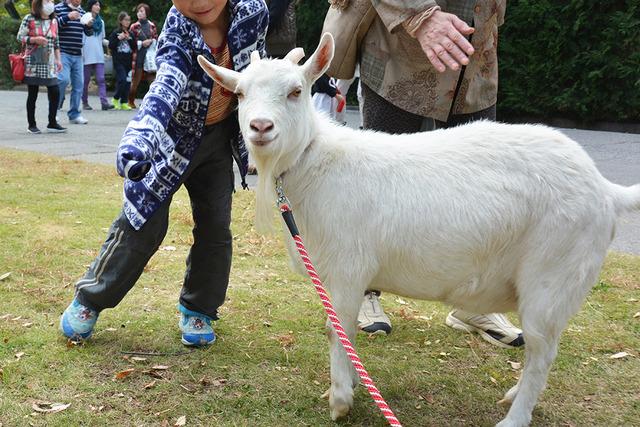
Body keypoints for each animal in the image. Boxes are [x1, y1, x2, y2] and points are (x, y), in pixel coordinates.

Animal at [198, 34, 636, 427]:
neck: (314, 162)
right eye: (240, 95)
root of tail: (605, 190)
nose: (260, 127)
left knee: (542, 351)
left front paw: (340, 401)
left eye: (295, 91)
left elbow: (338, 331)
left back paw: (514, 417)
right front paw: (349, 387)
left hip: (553, 275)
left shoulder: (347, 269)